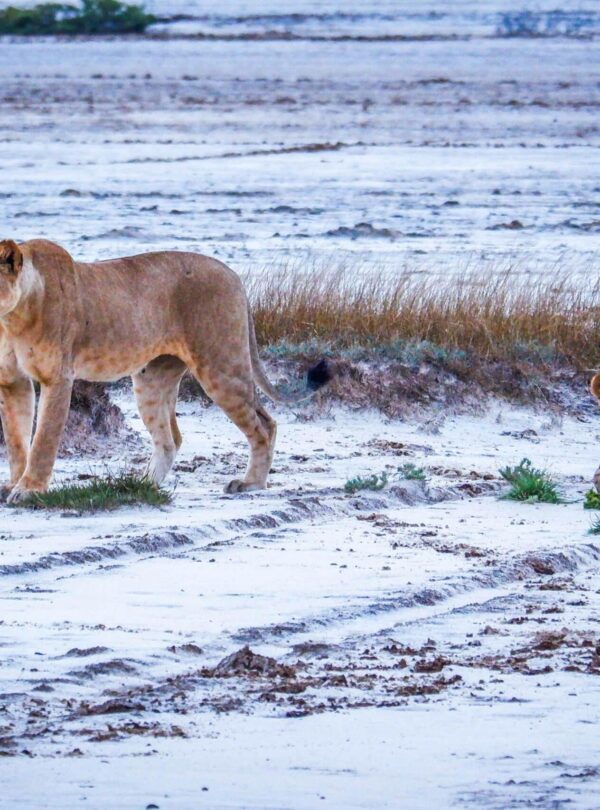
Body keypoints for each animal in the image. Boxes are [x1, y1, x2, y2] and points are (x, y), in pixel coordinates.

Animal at [0, 239, 329, 504]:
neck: (11, 320)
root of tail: (233, 275)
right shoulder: (13, 381)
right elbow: (17, 440)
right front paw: (13, 485)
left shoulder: (58, 377)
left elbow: (43, 440)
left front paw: (28, 490)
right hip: (152, 378)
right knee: (170, 439)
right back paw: (139, 484)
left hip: (221, 365)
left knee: (264, 424)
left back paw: (251, 484)